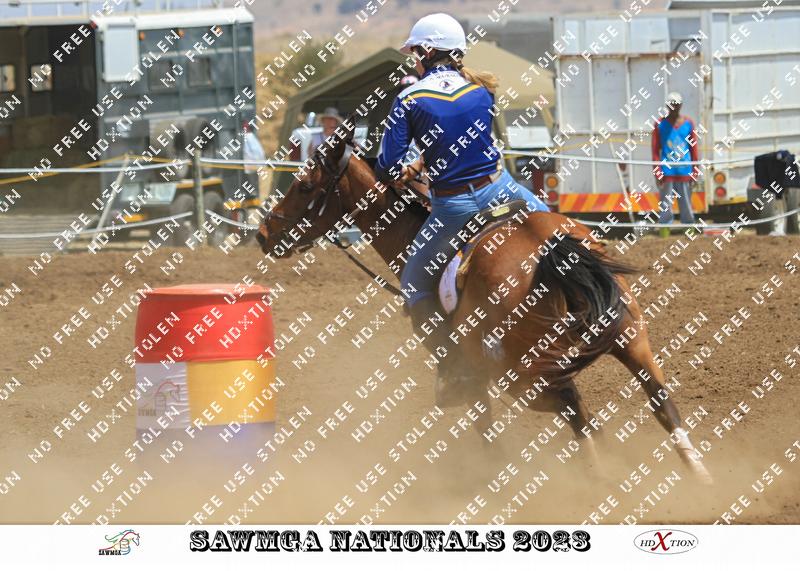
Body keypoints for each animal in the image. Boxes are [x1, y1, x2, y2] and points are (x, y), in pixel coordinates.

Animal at [256, 119, 712, 485]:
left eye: (304, 184)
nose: (263, 233)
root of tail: (550, 251)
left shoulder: (475, 374)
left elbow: (487, 427)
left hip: (521, 374)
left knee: (575, 409)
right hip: (631, 339)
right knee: (658, 403)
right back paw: (694, 475)